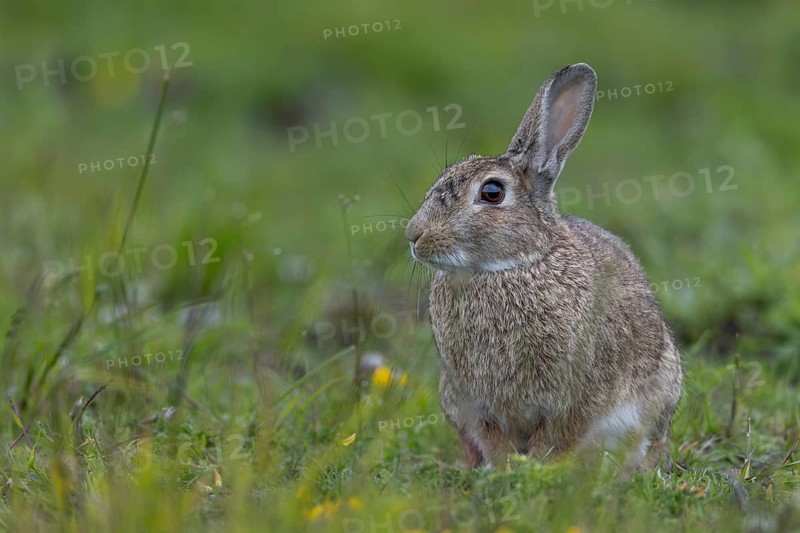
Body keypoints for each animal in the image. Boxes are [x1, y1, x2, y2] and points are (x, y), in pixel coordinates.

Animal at [404, 63, 683, 470]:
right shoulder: (474, 401)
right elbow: (493, 437)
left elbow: (557, 437)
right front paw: (505, 470)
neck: (508, 267)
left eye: (492, 192)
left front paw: (536, 470)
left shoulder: (574, 394)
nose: (414, 234)